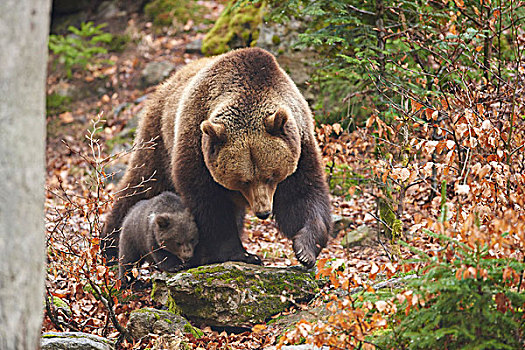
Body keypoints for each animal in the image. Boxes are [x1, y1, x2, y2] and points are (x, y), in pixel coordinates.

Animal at [102, 47, 332, 270]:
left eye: (271, 176)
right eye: (244, 181)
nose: (264, 212)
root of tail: (164, 85)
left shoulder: (300, 144)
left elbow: (302, 196)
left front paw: (304, 250)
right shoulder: (197, 146)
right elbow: (211, 206)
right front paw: (242, 255)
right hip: (158, 137)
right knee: (142, 185)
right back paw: (109, 246)